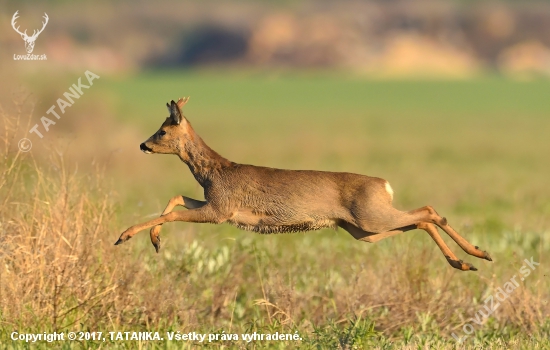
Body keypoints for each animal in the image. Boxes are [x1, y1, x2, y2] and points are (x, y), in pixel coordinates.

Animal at [114, 97, 494, 272]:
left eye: (163, 130)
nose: (143, 144)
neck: (215, 172)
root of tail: (384, 184)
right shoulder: (216, 206)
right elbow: (176, 197)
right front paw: (155, 241)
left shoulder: (222, 209)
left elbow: (173, 212)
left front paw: (126, 236)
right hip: (365, 230)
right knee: (422, 218)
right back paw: (469, 260)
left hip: (372, 218)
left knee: (429, 213)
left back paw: (476, 256)